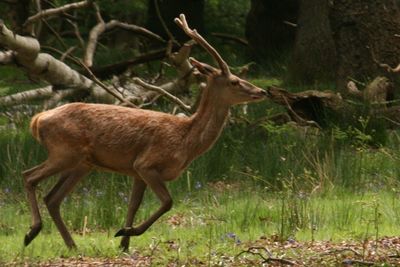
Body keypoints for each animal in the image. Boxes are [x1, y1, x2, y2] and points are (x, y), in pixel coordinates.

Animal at [21, 13, 266, 251]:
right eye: (234, 81)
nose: (262, 91)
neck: (187, 142)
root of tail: (37, 119)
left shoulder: (136, 171)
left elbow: (133, 205)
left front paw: (124, 241)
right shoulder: (146, 163)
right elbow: (167, 202)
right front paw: (126, 233)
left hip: (82, 163)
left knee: (52, 198)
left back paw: (71, 245)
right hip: (64, 152)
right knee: (29, 176)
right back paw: (32, 232)